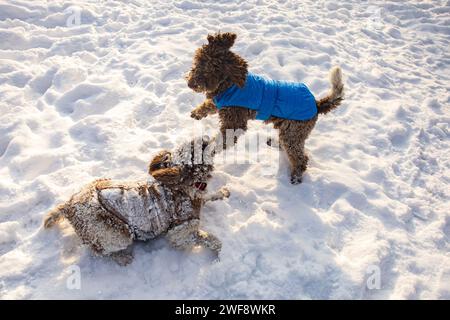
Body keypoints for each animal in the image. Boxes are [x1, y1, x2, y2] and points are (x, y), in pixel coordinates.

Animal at [186, 32, 344, 184]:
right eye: (199, 61)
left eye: (212, 69)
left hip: (293, 132)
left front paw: (207, 149)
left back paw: (296, 176)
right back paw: (274, 143)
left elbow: (222, 139)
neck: (229, 85)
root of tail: (317, 105)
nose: (190, 84)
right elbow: (209, 105)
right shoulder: (220, 102)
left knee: (300, 157)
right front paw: (197, 113)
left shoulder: (235, 122)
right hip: (287, 129)